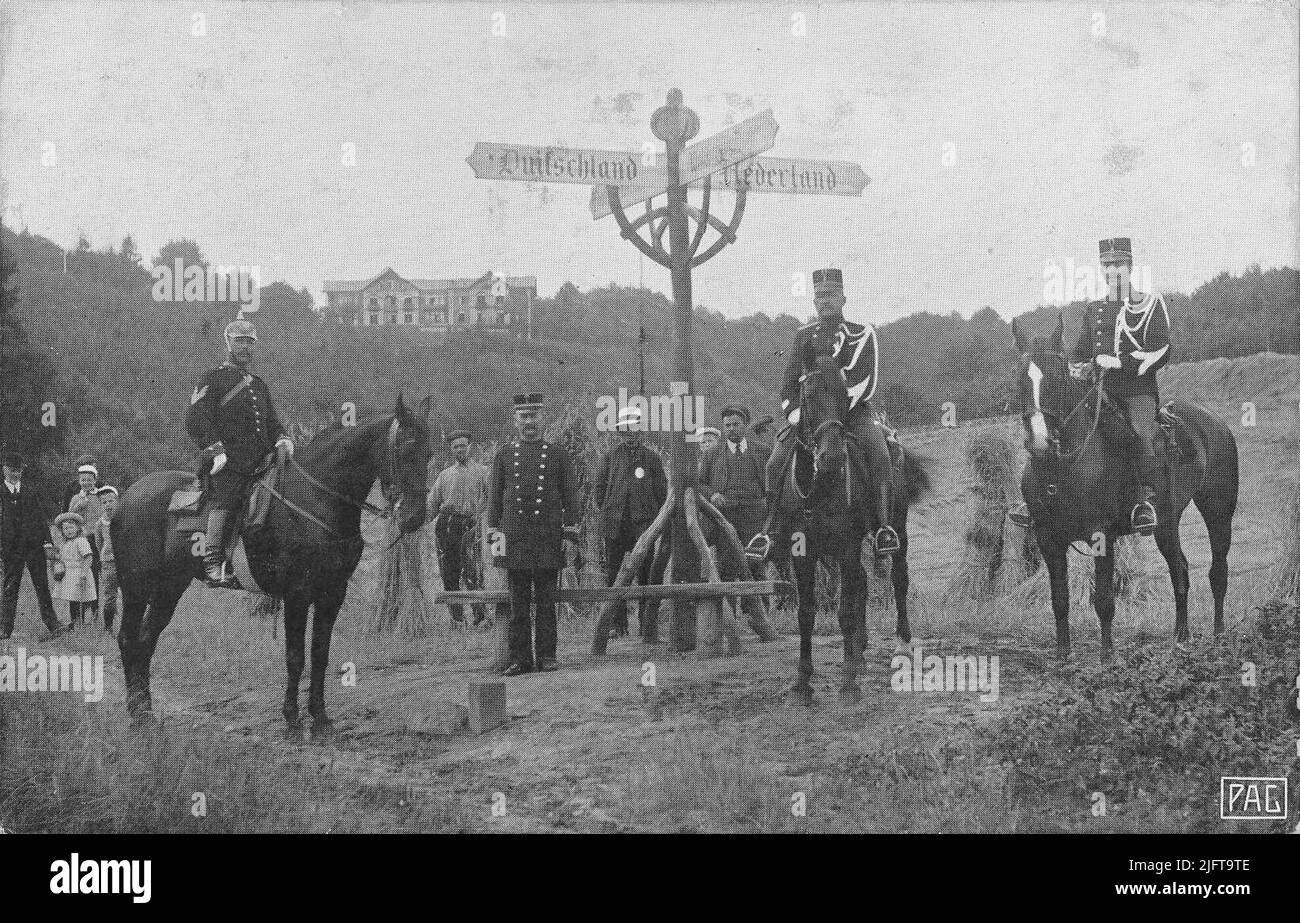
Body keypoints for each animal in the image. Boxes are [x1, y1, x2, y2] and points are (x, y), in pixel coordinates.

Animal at [109, 395, 428, 738]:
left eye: (431, 451)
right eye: (406, 447)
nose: (415, 517)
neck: (315, 499)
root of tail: (127, 497)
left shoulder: (332, 593)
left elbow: (320, 655)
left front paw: (321, 719)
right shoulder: (297, 594)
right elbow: (295, 657)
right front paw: (292, 720)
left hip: (170, 587)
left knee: (146, 640)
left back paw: (146, 712)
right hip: (136, 587)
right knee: (128, 639)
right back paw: (137, 715)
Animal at [764, 358, 930, 707]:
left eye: (845, 396)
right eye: (809, 395)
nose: (832, 457)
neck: (818, 488)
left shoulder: (846, 548)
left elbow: (845, 612)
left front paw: (849, 683)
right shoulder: (804, 553)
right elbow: (807, 613)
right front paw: (802, 683)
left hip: (896, 530)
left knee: (898, 579)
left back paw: (901, 646)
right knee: (863, 584)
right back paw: (860, 651)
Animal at [1003, 318, 1237, 657]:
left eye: (1058, 376)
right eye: (1020, 378)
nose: (1039, 442)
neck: (1061, 469)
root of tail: (1213, 421)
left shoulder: (1102, 536)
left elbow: (1103, 601)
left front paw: (1107, 657)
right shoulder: (1048, 539)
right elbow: (1059, 600)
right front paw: (1063, 655)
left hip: (1218, 511)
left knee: (1218, 571)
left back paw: (1218, 636)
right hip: (1166, 522)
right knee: (1179, 569)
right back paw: (1181, 637)